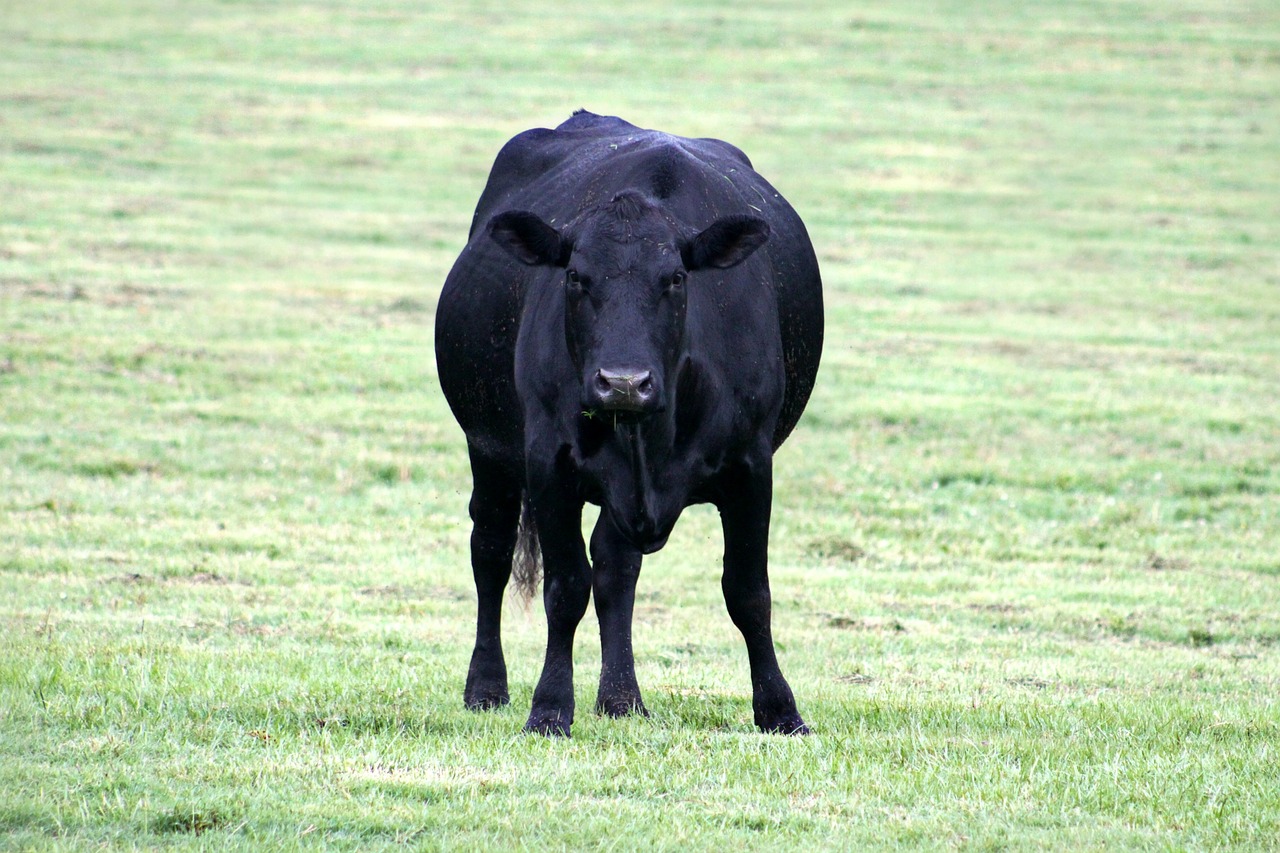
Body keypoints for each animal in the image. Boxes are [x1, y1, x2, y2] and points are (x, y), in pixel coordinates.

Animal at [435, 111, 824, 737]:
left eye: (676, 278)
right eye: (574, 275)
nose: (622, 382)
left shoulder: (751, 466)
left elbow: (748, 591)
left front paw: (780, 710)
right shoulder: (549, 465)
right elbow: (565, 587)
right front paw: (549, 708)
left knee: (616, 568)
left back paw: (622, 699)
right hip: (487, 449)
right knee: (490, 550)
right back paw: (487, 686)